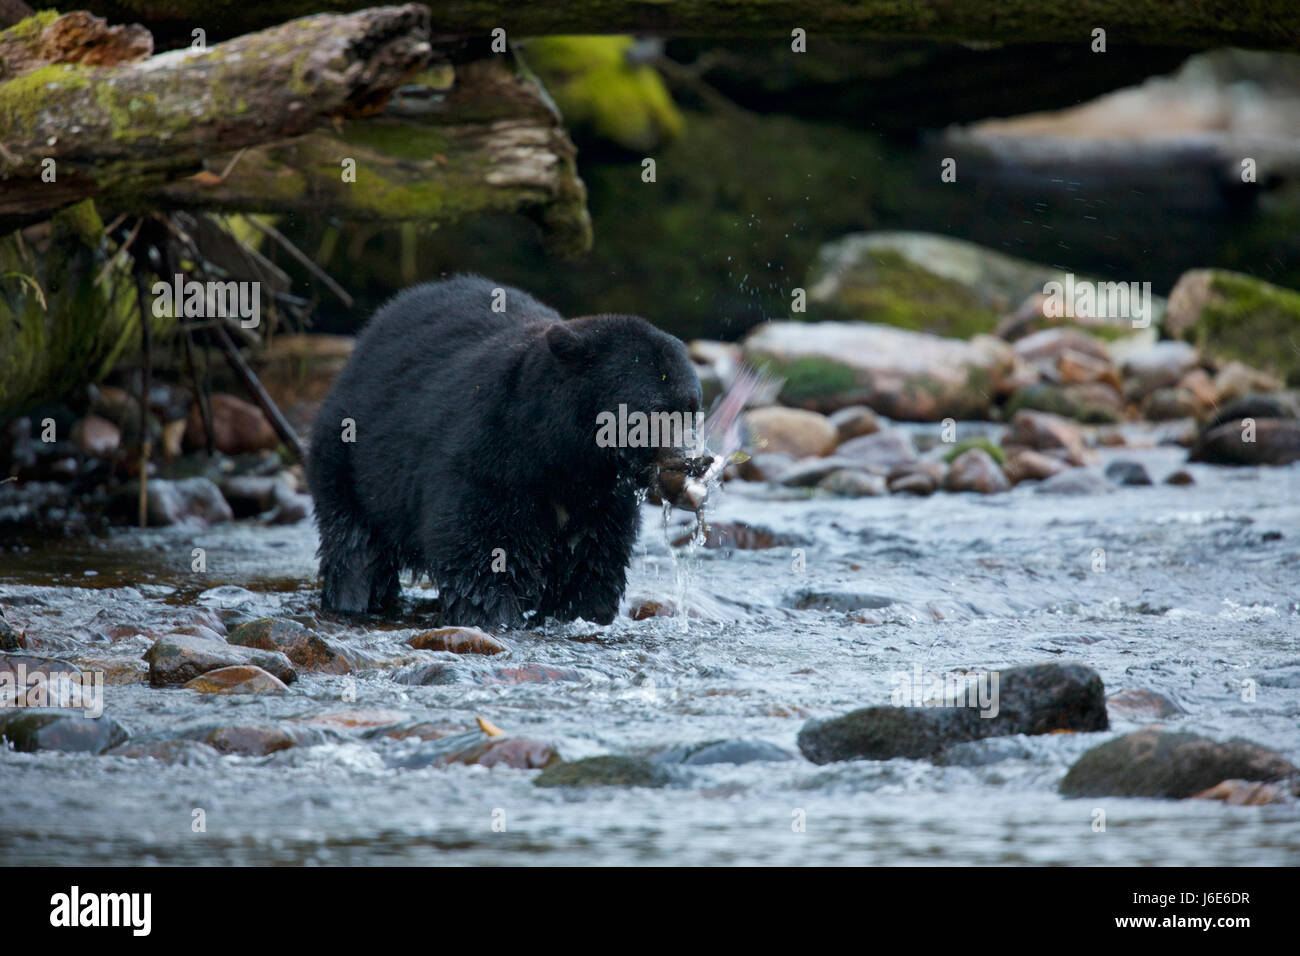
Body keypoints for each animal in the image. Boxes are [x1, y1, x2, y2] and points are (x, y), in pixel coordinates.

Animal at [304, 274, 702, 629]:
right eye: (652, 410)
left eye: (692, 407)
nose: (689, 462)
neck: (565, 459)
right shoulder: (489, 463)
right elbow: (485, 557)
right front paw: (495, 618)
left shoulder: (603, 502)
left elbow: (592, 567)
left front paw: (583, 615)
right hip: (349, 458)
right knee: (356, 546)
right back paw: (353, 597)